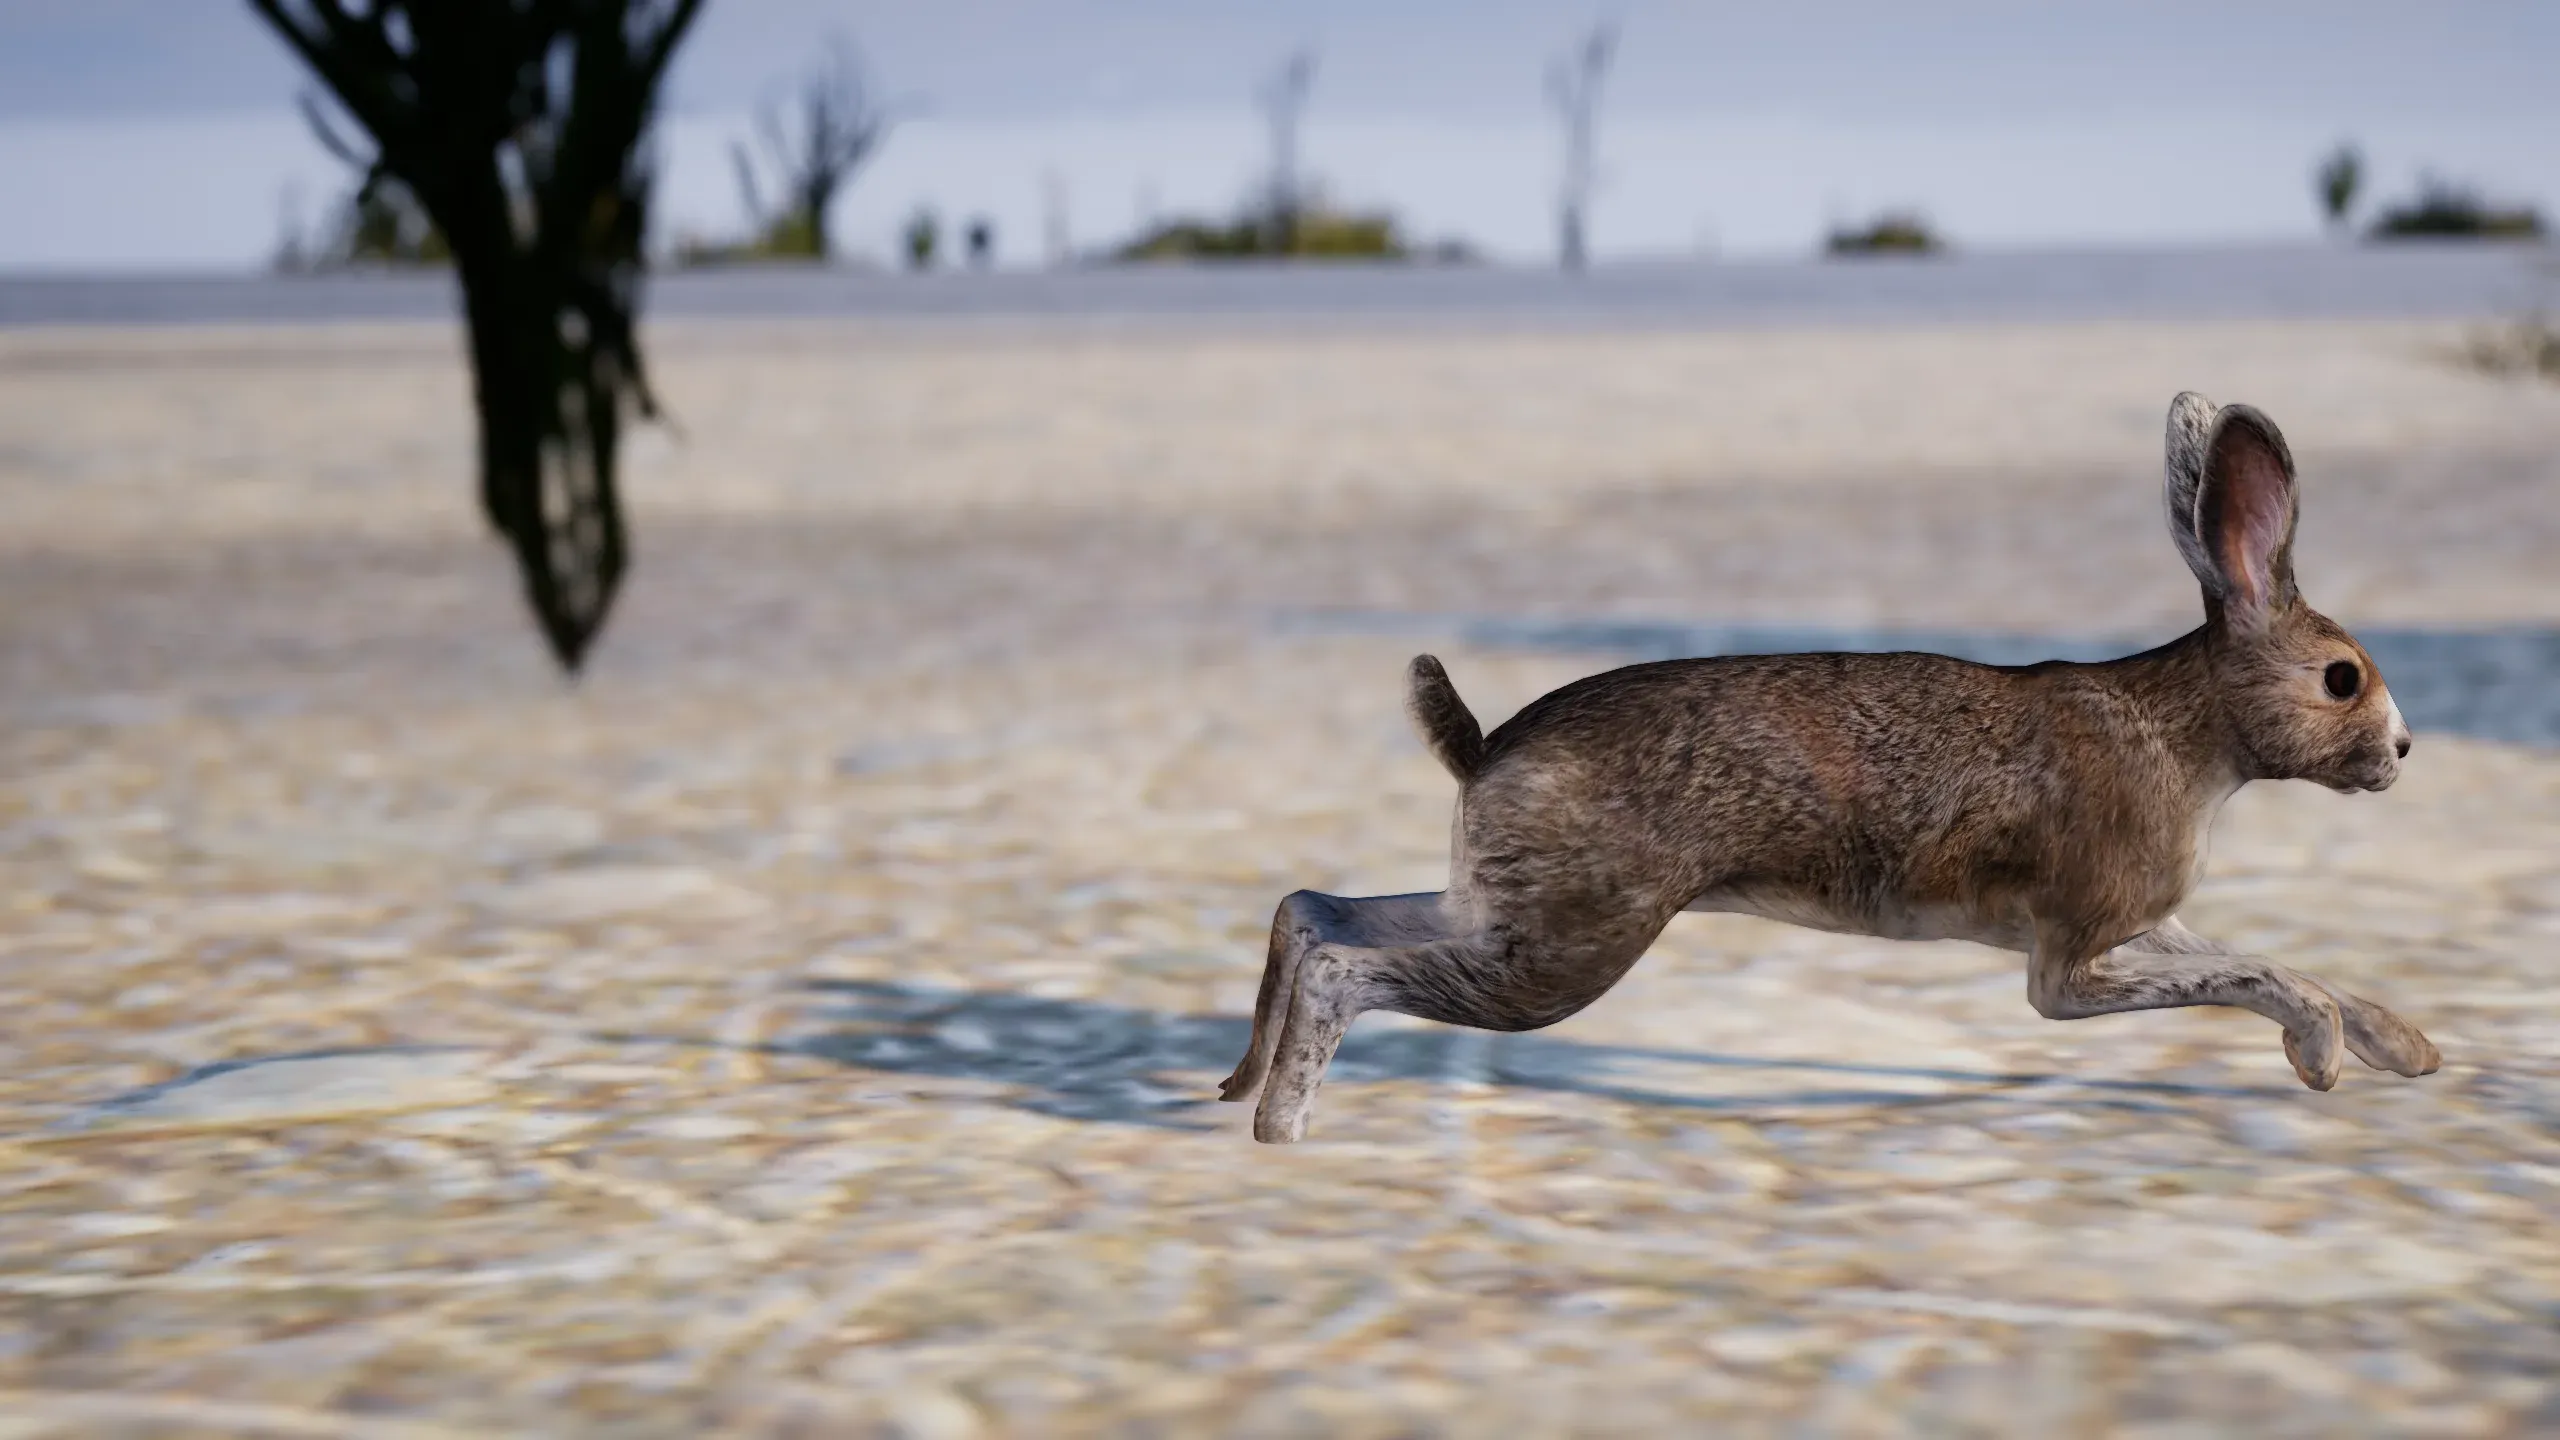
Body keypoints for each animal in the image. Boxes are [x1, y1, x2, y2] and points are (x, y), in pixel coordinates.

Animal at [1220, 391, 2437, 1143]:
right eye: (2341, 678)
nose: (2401, 753)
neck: (2188, 724)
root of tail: (1482, 749)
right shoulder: (2068, 964)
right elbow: (2247, 975)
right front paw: (2323, 1057)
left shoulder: (2134, 923)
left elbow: (2262, 956)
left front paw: (2406, 1049)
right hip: (1567, 950)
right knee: (1348, 968)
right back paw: (1283, 1131)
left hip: (1504, 913)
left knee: (1311, 908)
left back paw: (1235, 1088)